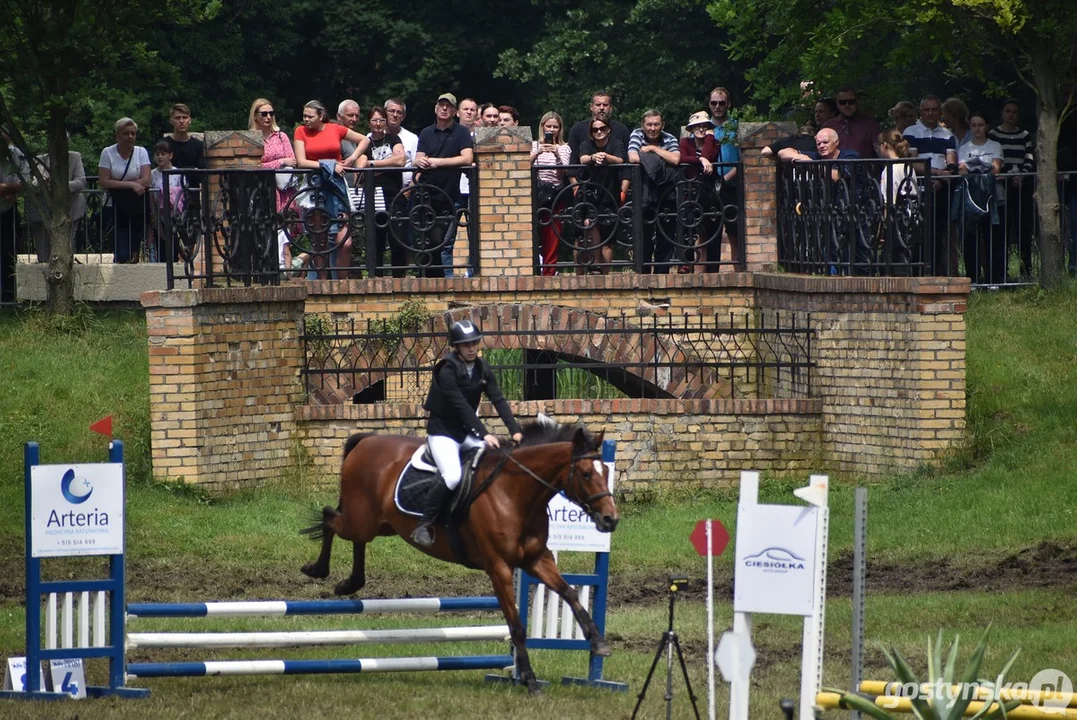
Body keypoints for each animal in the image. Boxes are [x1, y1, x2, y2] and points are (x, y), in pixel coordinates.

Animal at [301, 417, 624, 693]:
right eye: (586, 474)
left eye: (606, 472)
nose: (610, 520)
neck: (515, 491)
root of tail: (367, 440)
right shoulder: (498, 567)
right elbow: (516, 626)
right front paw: (531, 682)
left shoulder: (536, 559)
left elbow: (570, 594)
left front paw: (598, 643)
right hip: (361, 519)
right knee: (329, 518)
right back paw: (318, 570)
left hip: (381, 525)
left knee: (354, 537)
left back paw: (351, 583)